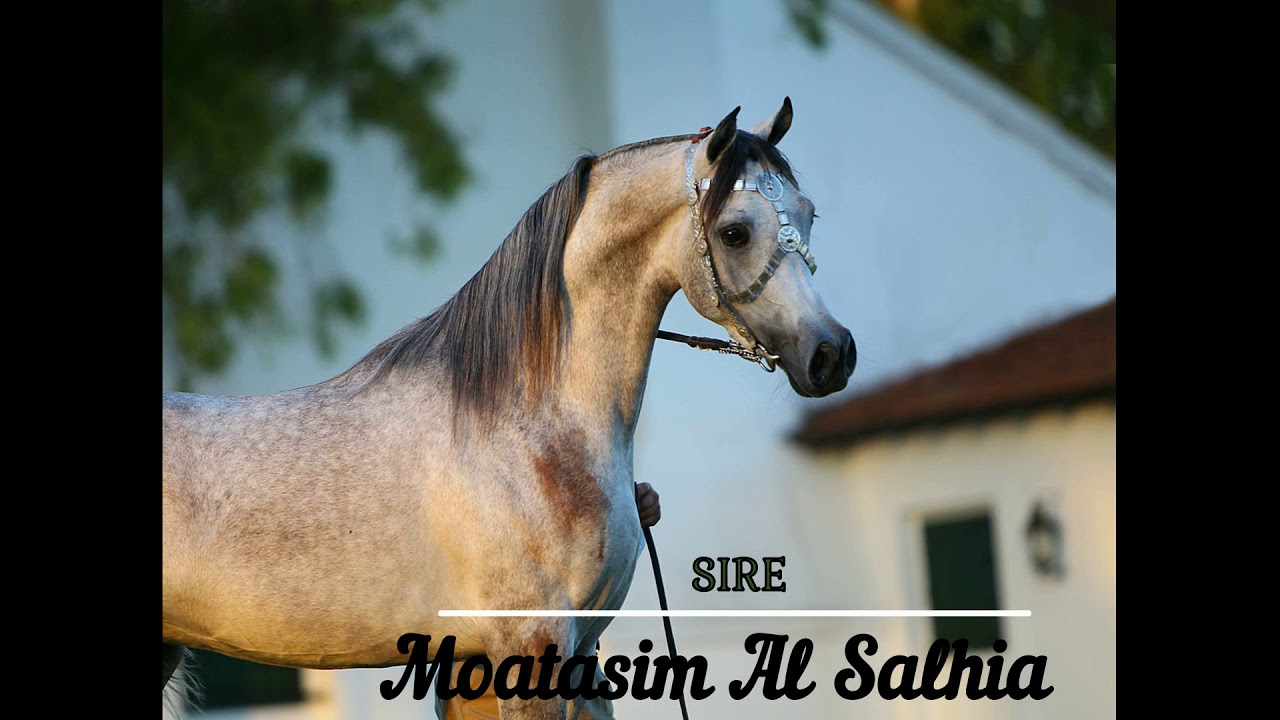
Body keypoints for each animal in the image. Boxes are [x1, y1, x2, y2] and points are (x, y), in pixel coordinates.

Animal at [162, 99, 856, 719]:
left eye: (809, 214)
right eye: (735, 231)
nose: (833, 355)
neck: (529, 427)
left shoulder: (570, 655)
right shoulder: (531, 649)